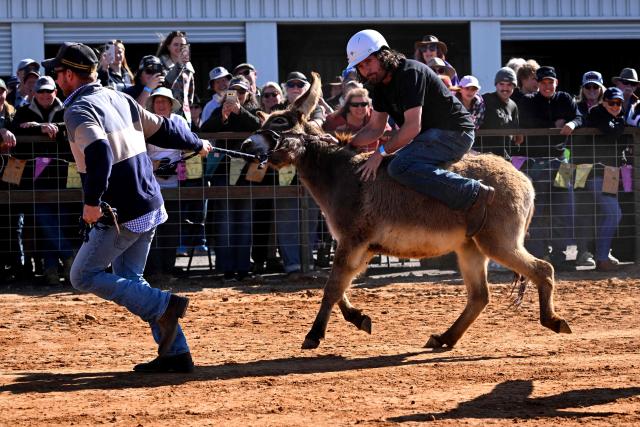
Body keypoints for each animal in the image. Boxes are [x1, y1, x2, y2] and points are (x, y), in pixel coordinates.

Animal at [242, 72, 572, 350]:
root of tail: (524, 180)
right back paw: (445, 338)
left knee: (543, 269)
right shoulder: (360, 247)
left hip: (498, 242)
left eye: (281, 122)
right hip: (471, 247)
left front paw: (314, 335)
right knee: (480, 296)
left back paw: (553, 321)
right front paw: (358, 318)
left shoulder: (352, 241)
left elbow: (332, 287)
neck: (341, 173)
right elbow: (341, 287)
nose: (246, 144)